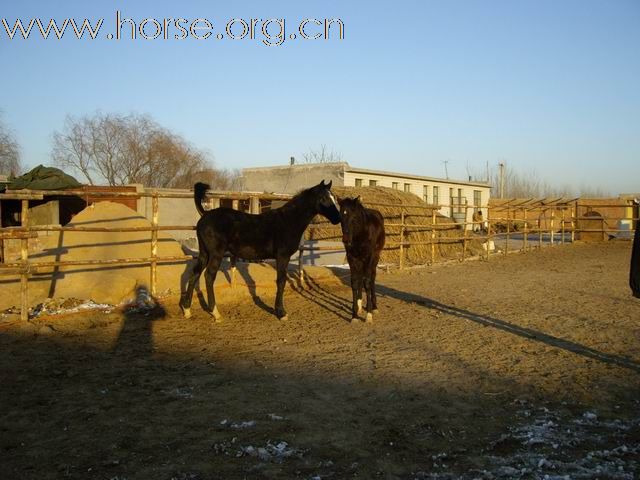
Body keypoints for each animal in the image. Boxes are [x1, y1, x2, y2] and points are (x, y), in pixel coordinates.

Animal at [181, 179, 340, 318]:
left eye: (333, 197)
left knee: (195, 274)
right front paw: (281, 312)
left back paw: (187, 310)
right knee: (209, 276)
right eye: (323, 198)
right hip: (216, 254)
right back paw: (215, 313)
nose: (337, 218)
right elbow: (281, 281)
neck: (288, 221)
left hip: (204, 253)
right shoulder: (282, 257)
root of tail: (205, 214)